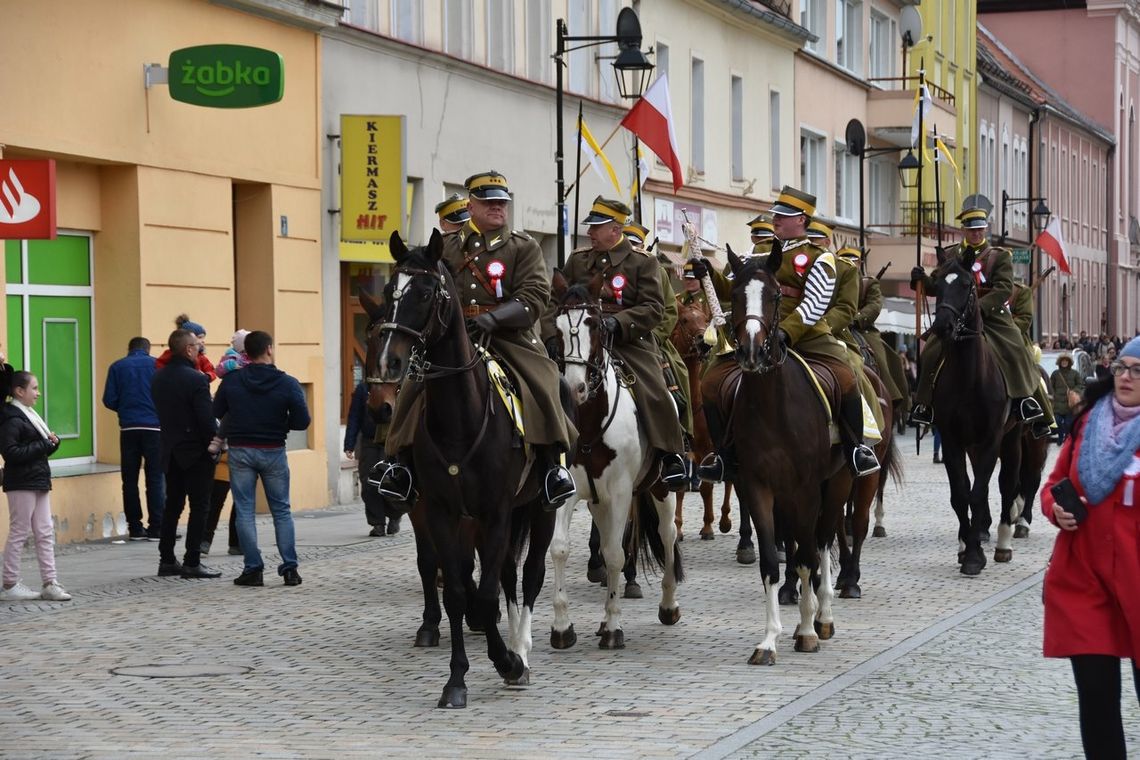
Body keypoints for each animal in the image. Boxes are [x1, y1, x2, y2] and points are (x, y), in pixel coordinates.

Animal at [364, 230, 556, 706]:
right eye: (390, 291)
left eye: (425, 292)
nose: (389, 365)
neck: (461, 417)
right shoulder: (439, 510)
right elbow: (453, 586)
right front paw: (456, 679)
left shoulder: (495, 511)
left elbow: (485, 596)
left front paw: (508, 662)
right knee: (505, 573)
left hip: (541, 509)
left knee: (531, 574)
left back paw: (522, 649)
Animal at [547, 270, 679, 651]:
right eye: (557, 326)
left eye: (594, 324)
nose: (575, 388)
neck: (591, 422)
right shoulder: (568, 491)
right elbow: (560, 549)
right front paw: (562, 626)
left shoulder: (621, 492)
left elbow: (617, 555)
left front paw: (614, 627)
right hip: (599, 502)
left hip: (660, 487)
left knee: (667, 534)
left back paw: (668, 605)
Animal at [715, 244, 852, 665]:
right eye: (735, 294)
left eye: (775, 295)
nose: (751, 351)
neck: (773, 407)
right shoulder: (757, 486)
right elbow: (770, 562)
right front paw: (768, 640)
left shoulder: (805, 488)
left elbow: (807, 557)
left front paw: (807, 630)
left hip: (835, 483)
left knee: (821, 542)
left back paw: (823, 617)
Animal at [925, 249, 1035, 576]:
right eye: (936, 284)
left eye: (966, 285)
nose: (943, 327)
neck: (969, 378)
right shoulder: (952, 440)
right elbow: (962, 494)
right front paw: (966, 547)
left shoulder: (991, 439)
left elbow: (979, 492)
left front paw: (975, 556)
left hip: (1012, 439)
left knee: (1007, 484)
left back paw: (1003, 542)